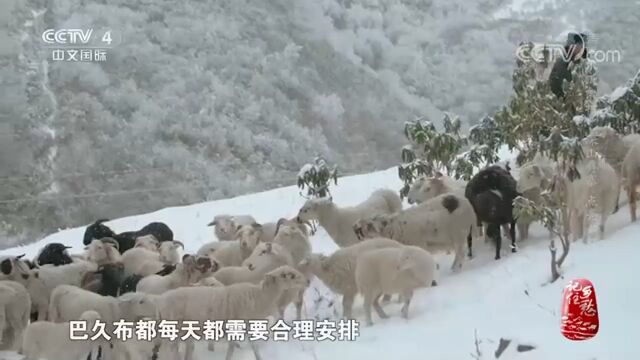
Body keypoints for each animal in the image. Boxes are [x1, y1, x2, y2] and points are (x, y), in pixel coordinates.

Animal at [154, 264, 304, 360]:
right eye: (288, 275)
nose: (305, 281)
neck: (259, 296)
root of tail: (160, 302)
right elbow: (235, 348)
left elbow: (252, 346)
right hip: (173, 331)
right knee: (171, 353)